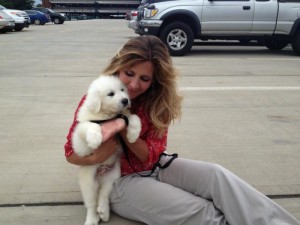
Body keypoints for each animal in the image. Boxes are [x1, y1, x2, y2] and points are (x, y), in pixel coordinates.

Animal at [71, 75, 141, 225]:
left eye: (122, 90)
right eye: (111, 94)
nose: (125, 100)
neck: (108, 115)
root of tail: (100, 176)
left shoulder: (125, 116)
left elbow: (134, 118)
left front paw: (132, 136)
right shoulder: (79, 136)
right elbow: (92, 126)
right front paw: (95, 139)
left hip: (113, 175)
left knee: (103, 194)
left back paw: (103, 211)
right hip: (88, 181)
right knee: (91, 203)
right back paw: (92, 219)